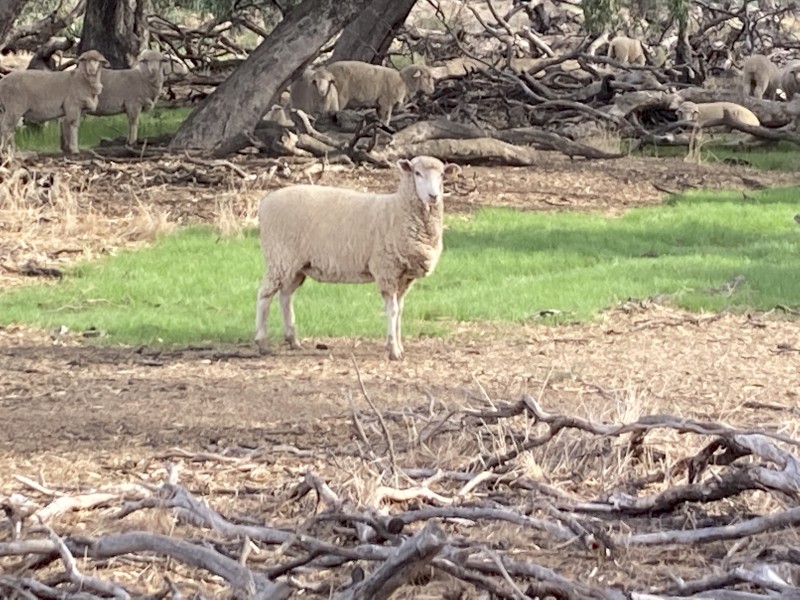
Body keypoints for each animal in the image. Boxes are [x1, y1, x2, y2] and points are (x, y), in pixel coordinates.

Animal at [254, 155, 458, 361]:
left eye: (442, 175)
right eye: (417, 173)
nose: (433, 196)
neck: (398, 210)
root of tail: (265, 202)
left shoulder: (404, 277)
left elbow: (400, 311)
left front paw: (399, 347)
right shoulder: (386, 269)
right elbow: (392, 311)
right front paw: (393, 350)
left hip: (296, 265)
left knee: (285, 296)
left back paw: (293, 340)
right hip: (279, 257)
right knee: (264, 295)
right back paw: (262, 343)